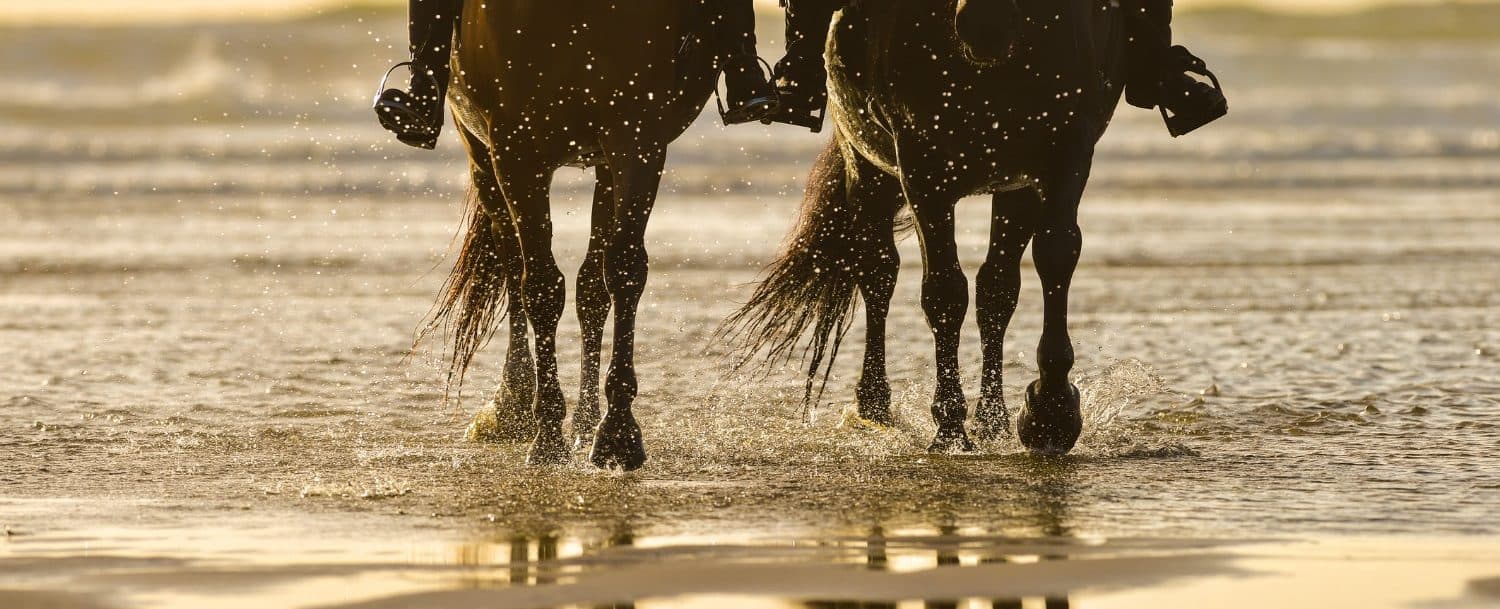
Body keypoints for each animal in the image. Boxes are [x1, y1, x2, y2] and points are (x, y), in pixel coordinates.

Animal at [421, 1, 731, 470]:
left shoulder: (637, 134)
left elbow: (622, 271)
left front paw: (617, 431)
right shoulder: (516, 148)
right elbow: (541, 287)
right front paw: (548, 433)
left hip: (604, 164)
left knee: (591, 285)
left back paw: (586, 421)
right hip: (481, 153)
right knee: (512, 257)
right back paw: (512, 404)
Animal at [721, 0, 1127, 455]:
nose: (984, 25)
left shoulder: (1062, 157)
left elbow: (1054, 256)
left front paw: (1051, 412)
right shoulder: (923, 169)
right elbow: (944, 292)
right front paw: (949, 427)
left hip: (1013, 189)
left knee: (997, 288)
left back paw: (993, 421)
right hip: (866, 167)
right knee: (878, 274)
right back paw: (874, 406)